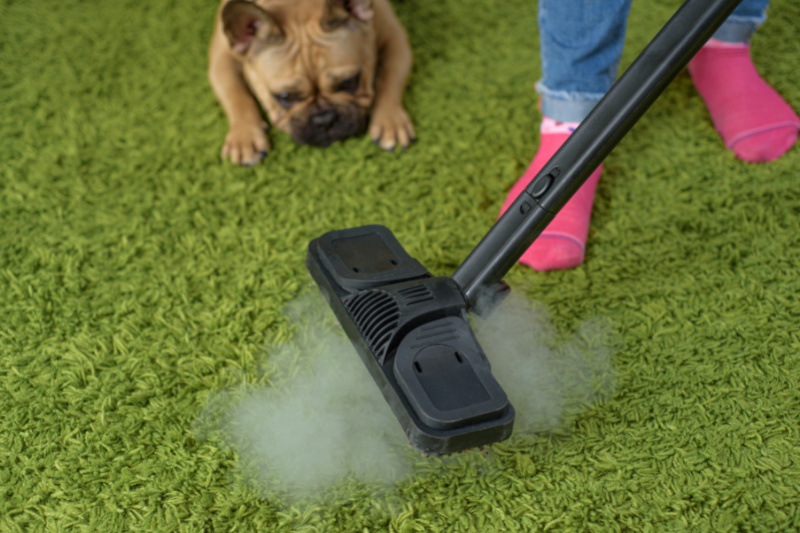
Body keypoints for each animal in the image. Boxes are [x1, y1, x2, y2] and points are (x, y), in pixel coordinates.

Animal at [209, 0, 416, 164]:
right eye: (285, 97)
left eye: (349, 82)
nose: (324, 120)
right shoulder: (221, 58)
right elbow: (236, 95)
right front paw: (244, 137)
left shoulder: (393, 35)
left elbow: (389, 78)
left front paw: (390, 122)